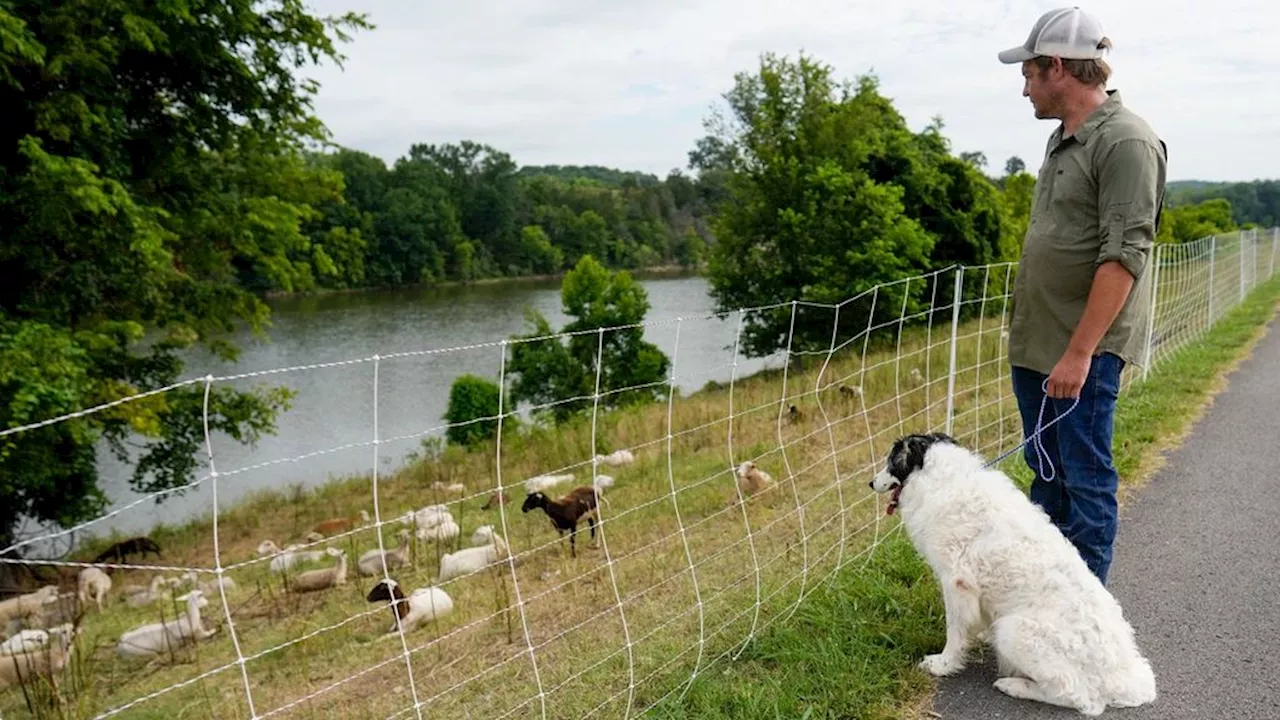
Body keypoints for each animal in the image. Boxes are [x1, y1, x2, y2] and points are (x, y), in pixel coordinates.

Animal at [870, 427, 1162, 712]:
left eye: (891, 462)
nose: (871, 483)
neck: (939, 477)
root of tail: (1127, 681)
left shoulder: (956, 582)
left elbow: (954, 631)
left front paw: (943, 664)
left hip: (1013, 630)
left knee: (1081, 698)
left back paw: (1014, 686)